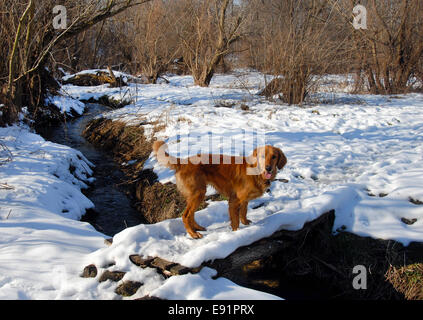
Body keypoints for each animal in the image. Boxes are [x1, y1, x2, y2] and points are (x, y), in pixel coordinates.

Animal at [152, 140, 288, 238]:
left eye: (274, 156)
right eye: (262, 156)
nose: (268, 168)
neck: (256, 172)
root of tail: (183, 161)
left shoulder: (244, 200)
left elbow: (244, 212)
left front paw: (246, 223)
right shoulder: (234, 200)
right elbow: (235, 220)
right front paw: (237, 232)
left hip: (197, 194)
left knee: (191, 214)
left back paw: (198, 228)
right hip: (198, 193)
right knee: (186, 215)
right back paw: (193, 234)